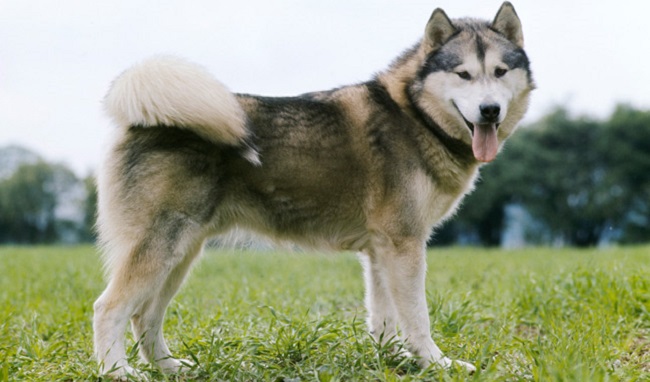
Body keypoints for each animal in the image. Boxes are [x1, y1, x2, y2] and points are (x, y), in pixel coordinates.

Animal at [95, 2, 532, 376]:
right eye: (463, 74)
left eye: (500, 72)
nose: (490, 110)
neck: (416, 115)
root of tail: (143, 118)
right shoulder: (403, 245)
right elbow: (417, 317)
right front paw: (435, 363)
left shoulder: (382, 251)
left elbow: (385, 319)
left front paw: (394, 360)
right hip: (160, 250)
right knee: (108, 309)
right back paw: (118, 371)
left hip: (181, 254)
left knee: (145, 317)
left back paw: (170, 368)